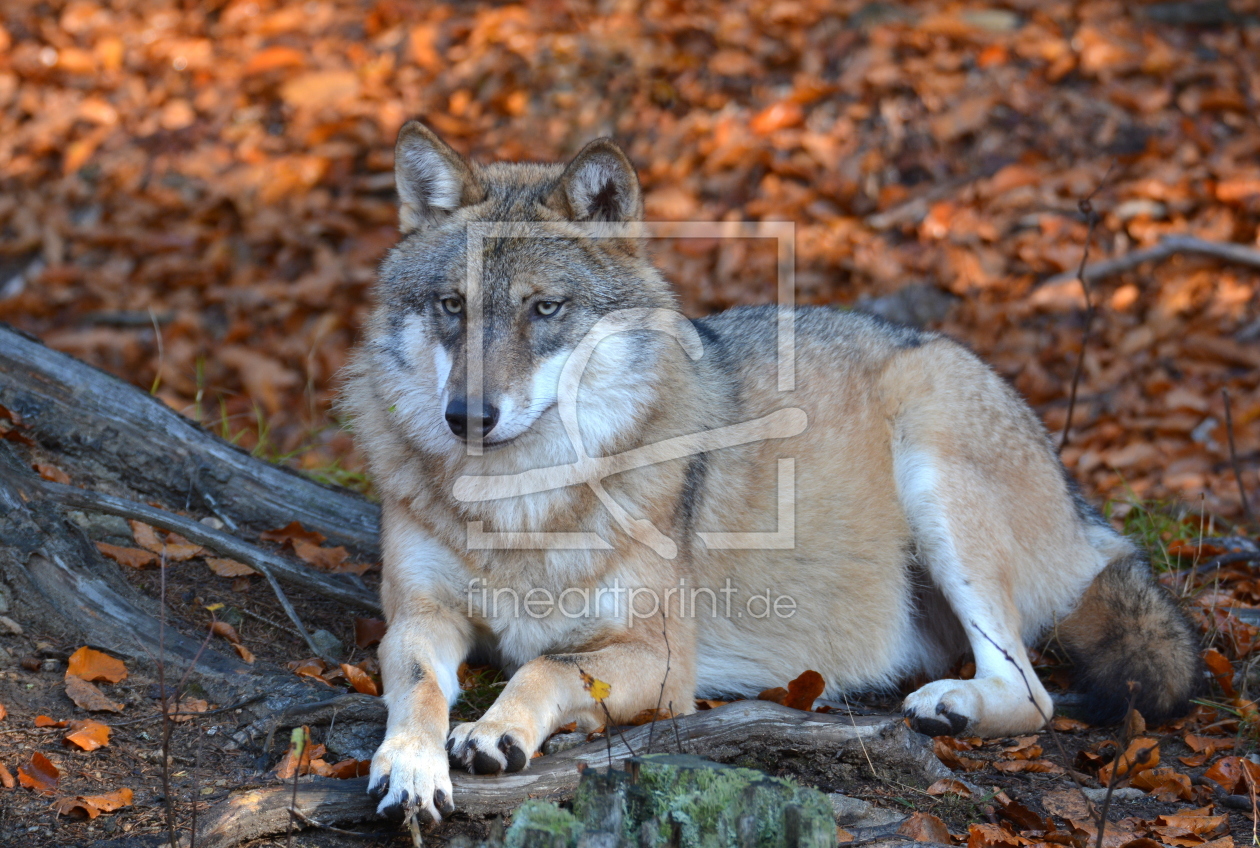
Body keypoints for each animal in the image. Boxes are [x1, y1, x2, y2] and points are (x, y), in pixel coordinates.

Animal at [342, 120, 1199, 821]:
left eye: (544, 309)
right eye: (452, 305)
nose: (466, 417)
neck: (519, 507)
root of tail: (1078, 502)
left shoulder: (662, 661)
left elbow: (543, 668)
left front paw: (494, 735)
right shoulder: (418, 617)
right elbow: (418, 687)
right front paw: (410, 764)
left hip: (933, 465)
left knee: (1034, 693)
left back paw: (949, 707)